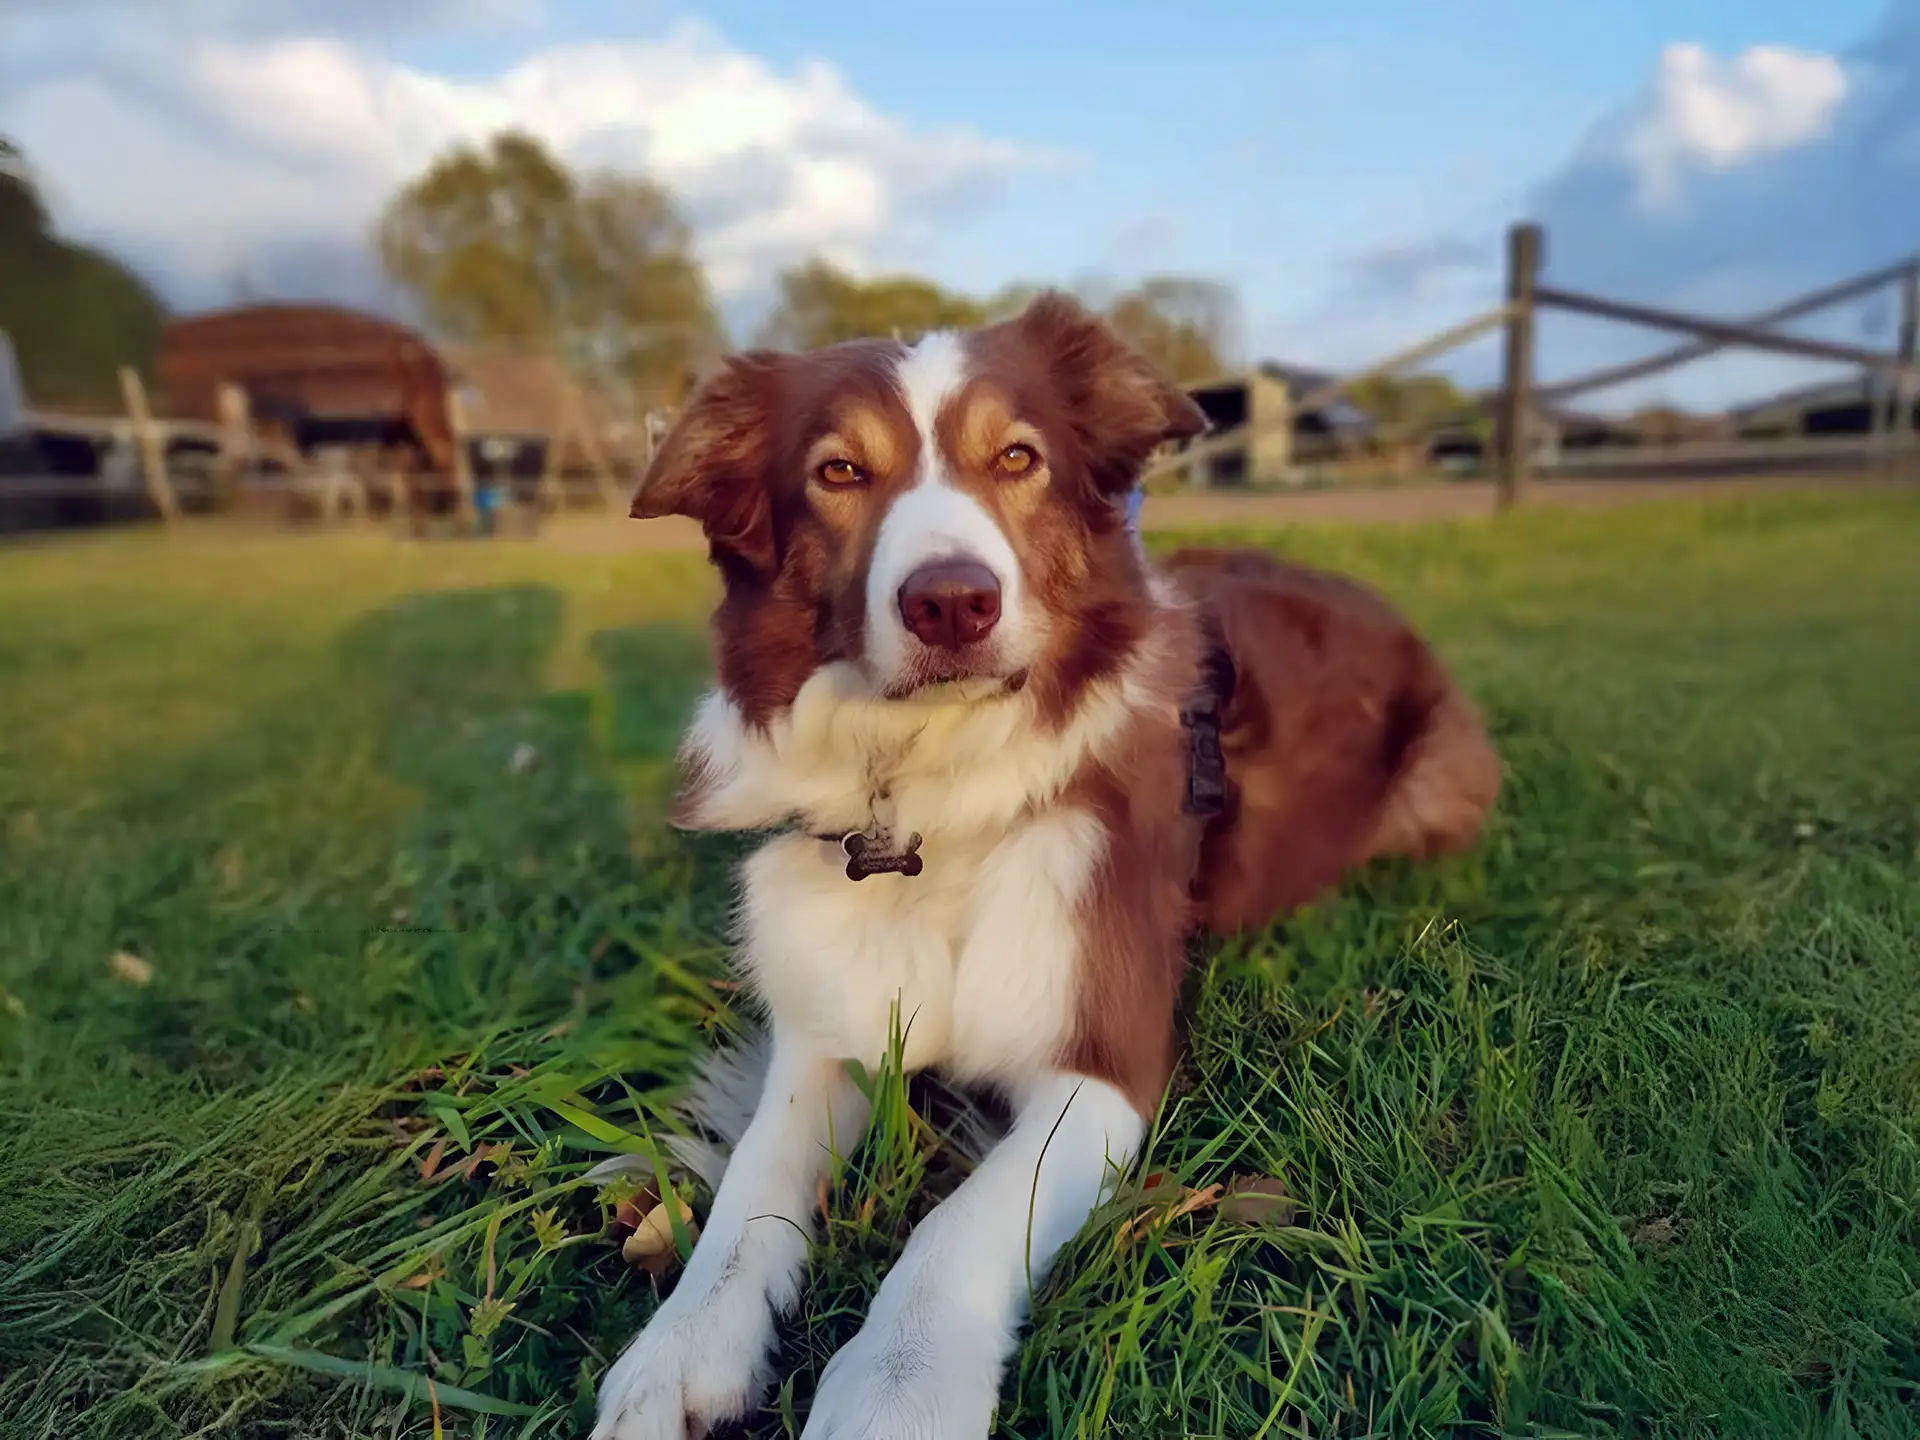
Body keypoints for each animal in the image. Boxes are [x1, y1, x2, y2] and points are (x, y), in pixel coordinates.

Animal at [583, 295, 1497, 1440]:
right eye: (839, 472)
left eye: (1017, 457)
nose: (951, 603)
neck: (930, 802)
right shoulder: (827, 1024)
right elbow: (753, 1181)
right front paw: (681, 1346)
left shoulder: (1103, 1059)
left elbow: (961, 1223)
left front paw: (898, 1387)